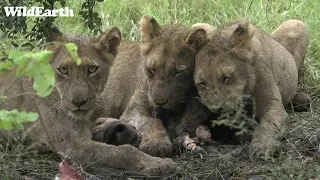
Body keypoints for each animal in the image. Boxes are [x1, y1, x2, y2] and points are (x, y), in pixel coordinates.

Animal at [0, 27, 175, 175]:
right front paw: (159, 163)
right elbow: (123, 152)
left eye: (92, 69)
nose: (78, 102)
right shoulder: (73, 146)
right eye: (63, 70)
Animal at [194, 19, 308, 158]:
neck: (244, 90)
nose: (217, 108)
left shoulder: (273, 106)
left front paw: (262, 147)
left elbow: (269, 124)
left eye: (226, 77)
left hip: (297, 23)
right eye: (202, 83)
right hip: (198, 24)